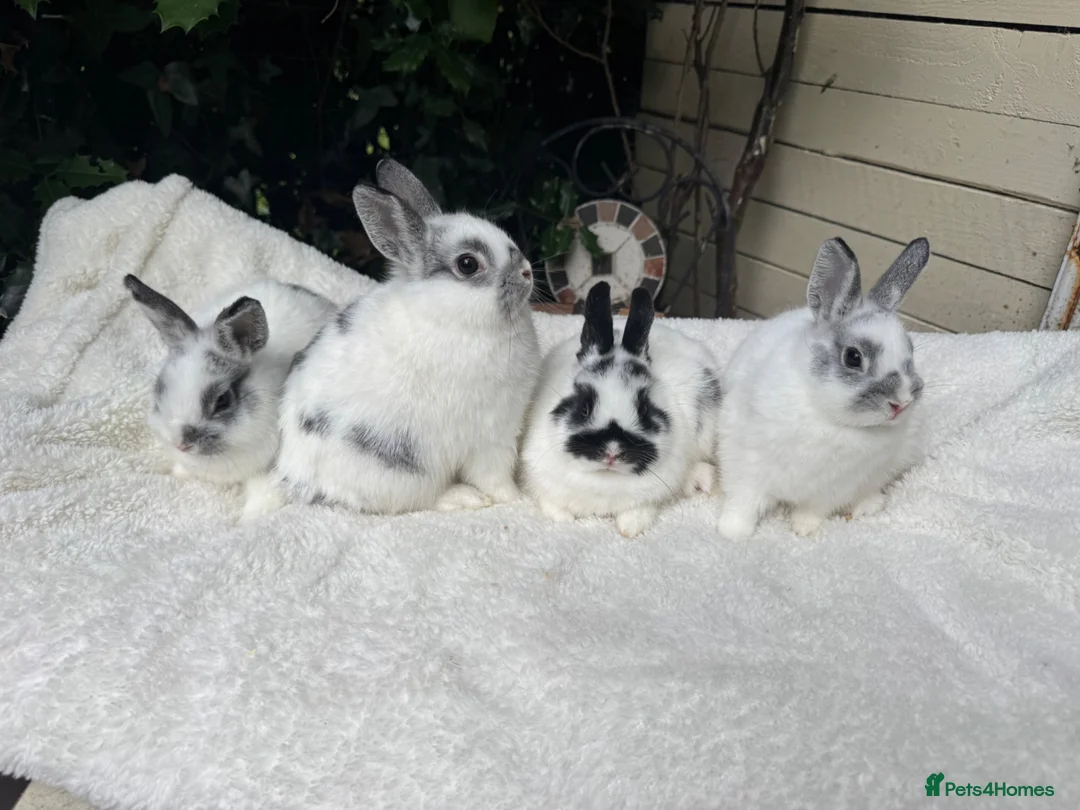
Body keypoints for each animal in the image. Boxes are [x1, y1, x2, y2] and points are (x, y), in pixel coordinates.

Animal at [256, 158, 540, 516]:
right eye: (467, 264)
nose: (527, 272)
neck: (449, 317)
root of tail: (293, 475)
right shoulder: (492, 435)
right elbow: (495, 477)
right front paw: (516, 499)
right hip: (403, 471)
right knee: (422, 500)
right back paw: (462, 497)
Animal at [520, 282, 722, 538]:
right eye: (584, 407)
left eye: (643, 409)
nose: (612, 451)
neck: (605, 479)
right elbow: (552, 506)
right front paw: (563, 519)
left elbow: (640, 511)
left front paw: (630, 527)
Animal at [714, 235, 931, 541]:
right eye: (853, 357)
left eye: (910, 354)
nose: (900, 403)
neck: (826, 417)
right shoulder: (745, 461)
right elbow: (744, 501)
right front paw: (732, 533)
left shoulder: (835, 487)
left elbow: (814, 509)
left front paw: (803, 529)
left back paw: (868, 505)